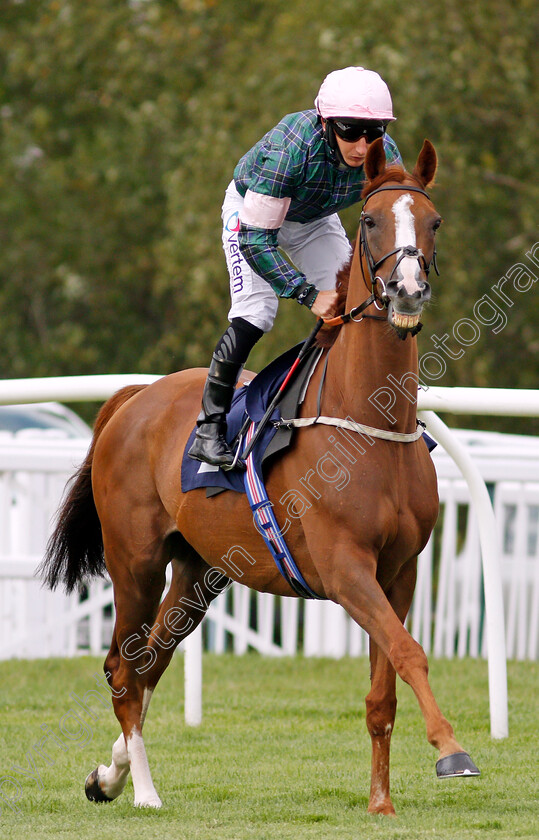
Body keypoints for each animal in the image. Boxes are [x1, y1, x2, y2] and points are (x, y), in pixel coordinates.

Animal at [42, 141, 480, 816]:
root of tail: (136, 396)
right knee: (122, 667)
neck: (368, 421)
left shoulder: (399, 570)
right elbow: (410, 651)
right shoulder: (345, 567)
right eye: (370, 220)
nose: (406, 291)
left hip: (199, 569)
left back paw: (108, 775)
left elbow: (384, 691)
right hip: (134, 559)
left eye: (434, 222)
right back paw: (143, 790)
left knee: (149, 663)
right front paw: (452, 751)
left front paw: (380, 802)